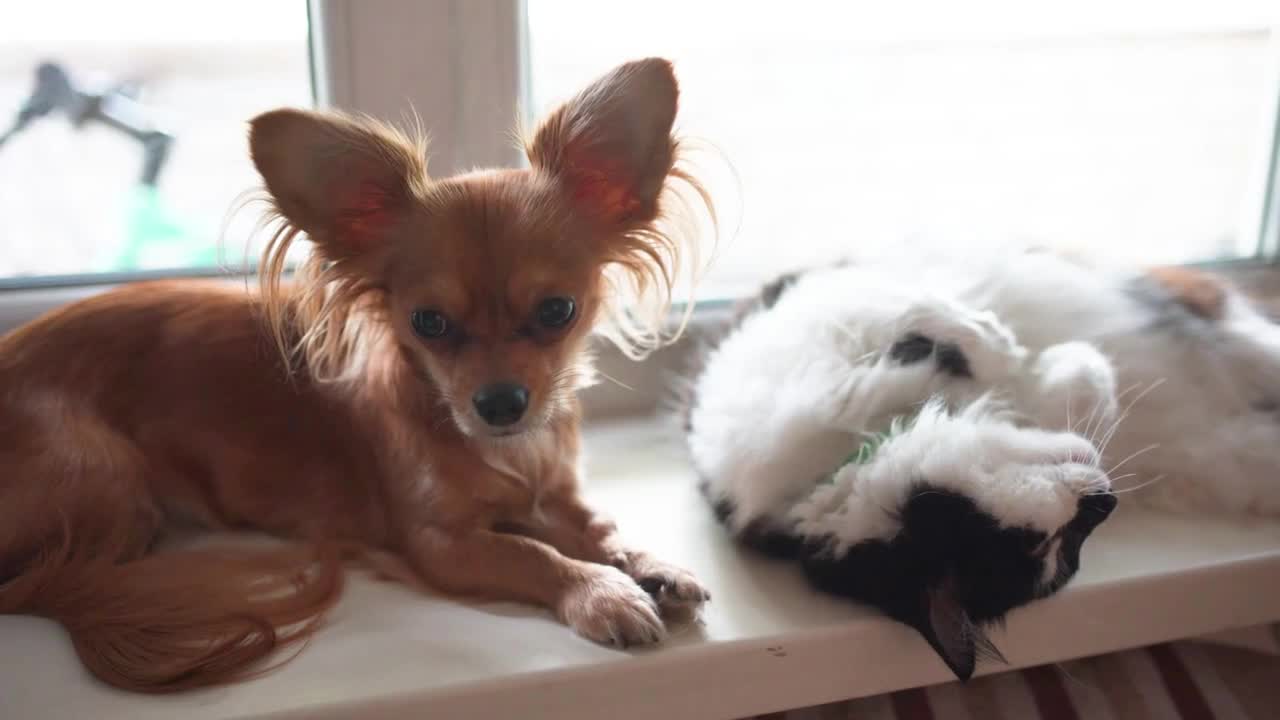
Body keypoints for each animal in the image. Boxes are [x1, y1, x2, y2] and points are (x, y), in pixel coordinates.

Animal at [0, 57, 711, 691]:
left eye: (558, 310)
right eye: (428, 322)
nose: (501, 403)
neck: (512, 453)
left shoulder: (558, 494)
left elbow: (599, 527)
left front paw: (648, 564)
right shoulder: (441, 542)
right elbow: (532, 553)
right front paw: (600, 591)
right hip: (108, 477)